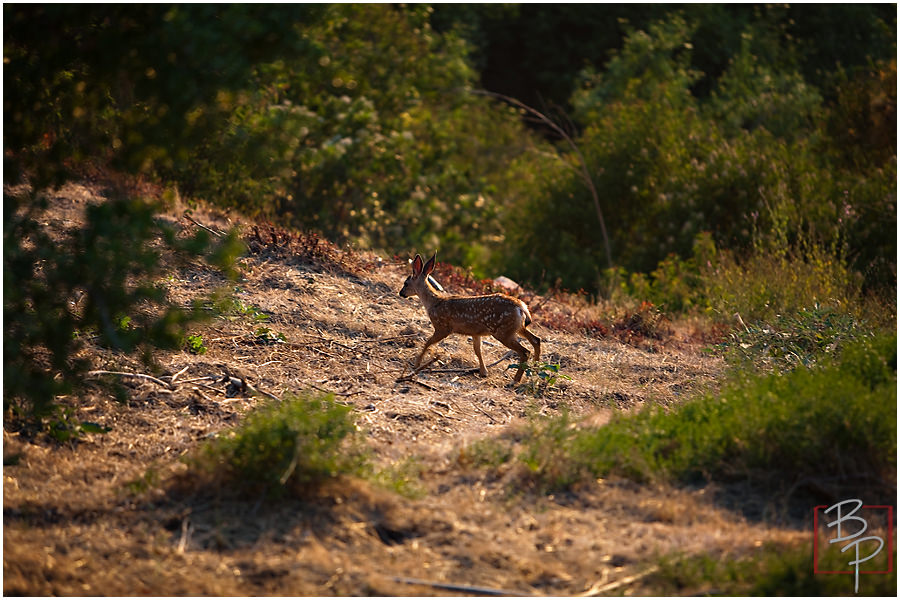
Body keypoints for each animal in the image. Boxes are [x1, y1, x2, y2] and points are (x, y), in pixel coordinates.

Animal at [396, 251, 536, 382]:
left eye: (406, 283)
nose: (401, 293)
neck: (434, 303)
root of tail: (521, 306)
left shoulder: (443, 327)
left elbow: (428, 342)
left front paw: (416, 363)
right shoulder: (475, 333)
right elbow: (478, 351)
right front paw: (484, 372)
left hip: (503, 331)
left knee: (525, 351)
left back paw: (516, 379)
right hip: (517, 328)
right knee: (536, 340)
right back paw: (534, 368)